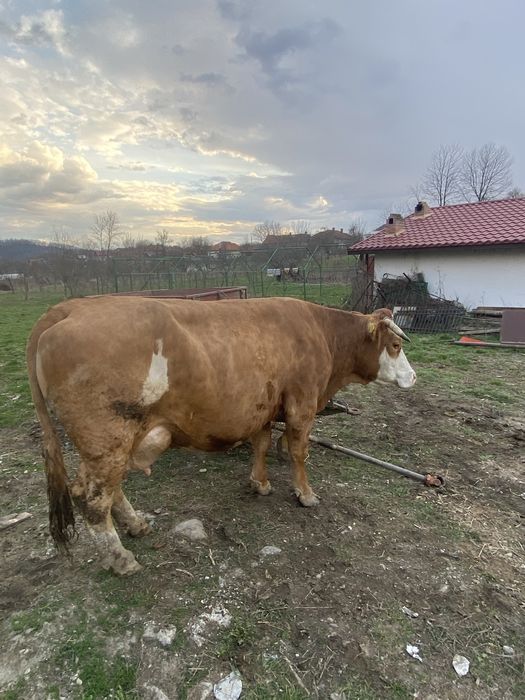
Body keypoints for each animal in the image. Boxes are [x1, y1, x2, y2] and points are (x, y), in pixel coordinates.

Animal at [26, 296, 416, 575]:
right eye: (396, 346)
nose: (413, 377)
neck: (322, 332)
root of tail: (69, 310)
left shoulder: (263, 406)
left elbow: (261, 444)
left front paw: (259, 483)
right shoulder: (301, 405)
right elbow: (297, 452)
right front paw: (305, 495)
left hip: (110, 444)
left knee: (104, 489)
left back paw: (136, 525)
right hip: (107, 438)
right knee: (92, 499)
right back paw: (122, 559)